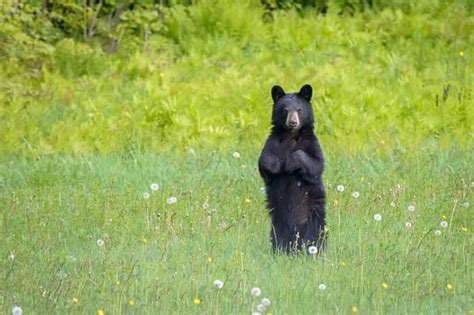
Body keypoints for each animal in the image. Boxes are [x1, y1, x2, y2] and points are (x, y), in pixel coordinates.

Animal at [260, 83, 326, 254]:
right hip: (277, 223)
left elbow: (316, 164)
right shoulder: (272, 143)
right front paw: (275, 164)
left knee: (314, 237)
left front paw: (290, 161)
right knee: (278, 238)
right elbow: (264, 163)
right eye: (285, 110)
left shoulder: (312, 143)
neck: (291, 135)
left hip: (313, 218)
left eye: (299, 110)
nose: (293, 122)